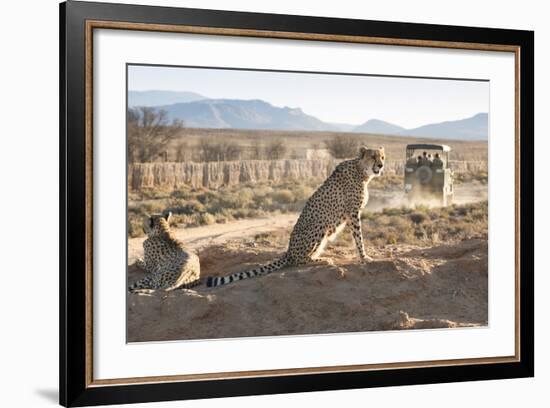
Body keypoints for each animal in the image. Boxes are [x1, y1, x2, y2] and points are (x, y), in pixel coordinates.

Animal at [208, 146, 388, 286]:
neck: (361, 171)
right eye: (373, 156)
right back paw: (323, 260)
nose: (381, 165)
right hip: (319, 225)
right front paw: (365, 257)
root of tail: (288, 251)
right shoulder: (353, 213)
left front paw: (364, 256)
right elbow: (358, 238)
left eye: (382, 157)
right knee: (299, 260)